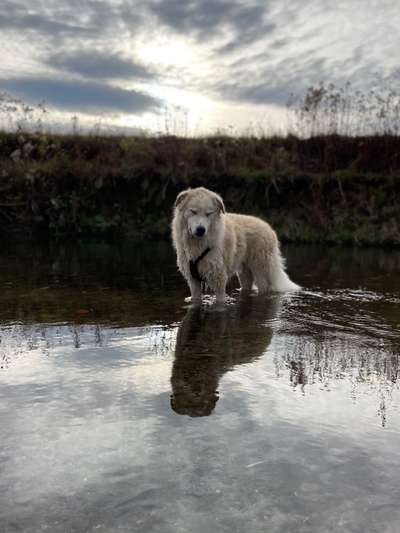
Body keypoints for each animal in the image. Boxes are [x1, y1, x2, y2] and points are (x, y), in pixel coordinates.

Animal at [170, 187, 298, 304]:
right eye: (193, 211)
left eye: (208, 214)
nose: (201, 230)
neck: (198, 245)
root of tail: (269, 228)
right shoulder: (193, 280)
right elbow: (196, 299)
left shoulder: (219, 279)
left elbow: (220, 301)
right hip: (244, 274)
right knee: (247, 287)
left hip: (262, 273)